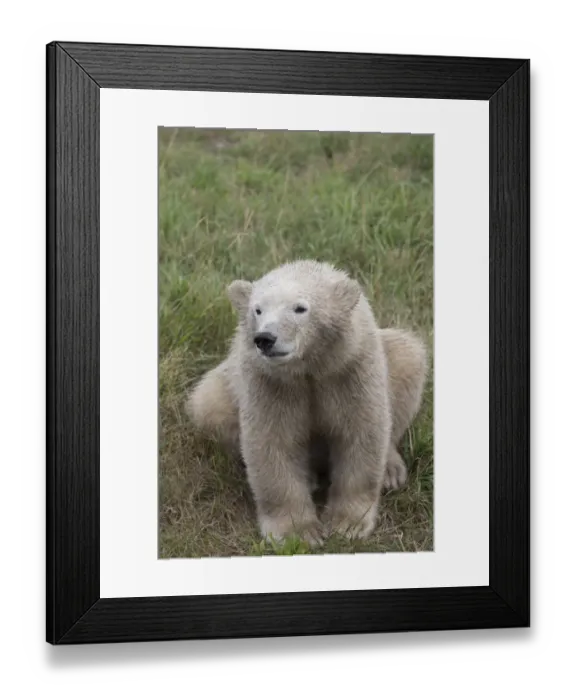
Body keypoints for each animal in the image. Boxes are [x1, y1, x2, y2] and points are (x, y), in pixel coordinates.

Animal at [185, 260, 428, 546]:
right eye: (258, 309)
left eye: (300, 308)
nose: (265, 338)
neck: (309, 367)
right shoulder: (270, 383)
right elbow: (273, 443)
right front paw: (298, 533)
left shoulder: (351, 370)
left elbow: (360, 433)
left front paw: (347, 524)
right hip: (224, 386)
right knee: (208, 403)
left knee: (407, 357)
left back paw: (391, 470)